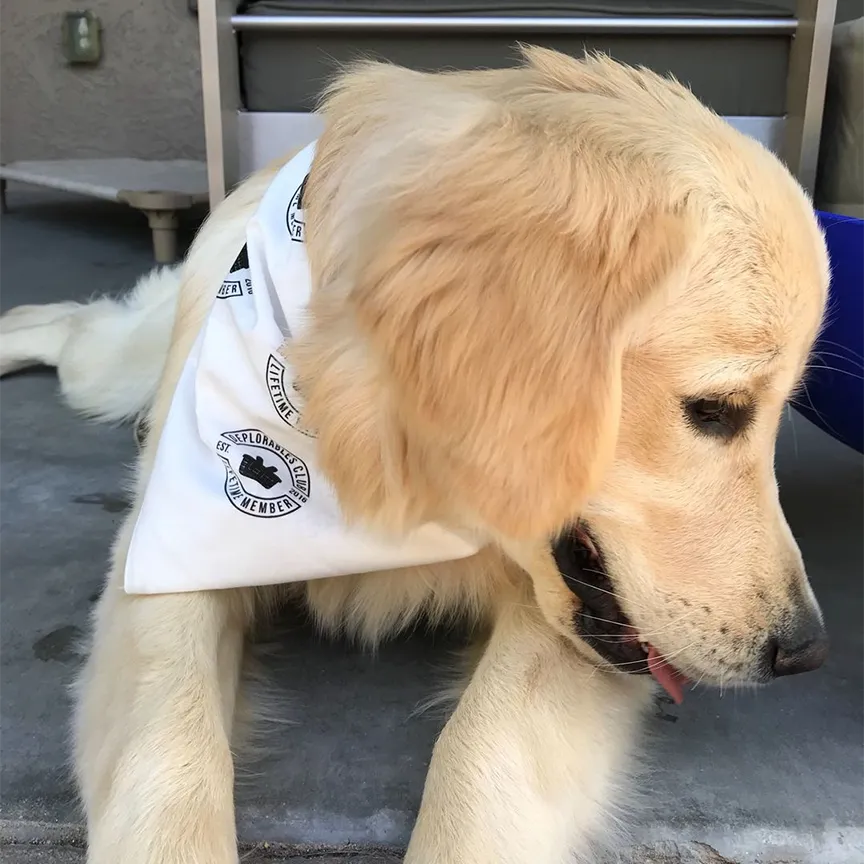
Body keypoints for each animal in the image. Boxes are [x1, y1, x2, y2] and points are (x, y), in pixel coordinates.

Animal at [0, 49, 832, 864]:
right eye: (716, 411)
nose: (807, 652)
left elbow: (482, 751)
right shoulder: (166, 554)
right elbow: (166, 743)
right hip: (120, 373)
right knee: (69, 327)